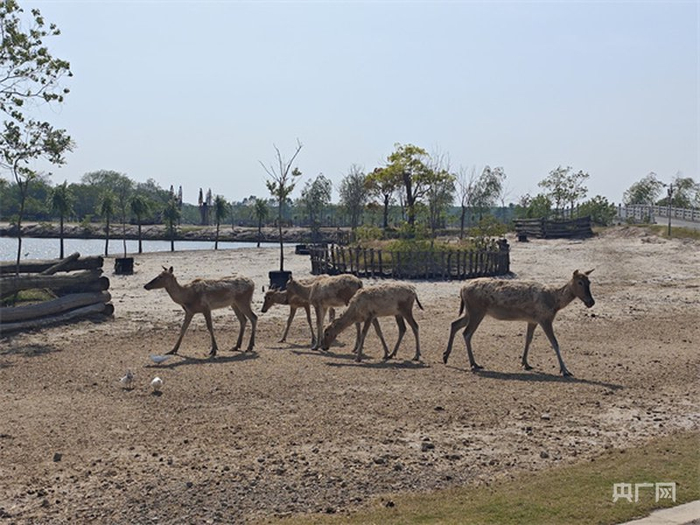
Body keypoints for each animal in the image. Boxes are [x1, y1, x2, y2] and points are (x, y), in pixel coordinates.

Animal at [443, 269, 595, 376]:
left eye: (589, 282)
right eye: (580, 282)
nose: (591, 302)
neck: (555, 303)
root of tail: (462, 288)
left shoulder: (533, 320)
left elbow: (528, 339)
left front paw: (525, 363)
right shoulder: (545, 318)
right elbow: (555, 343)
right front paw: (565, 370)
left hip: (470, 311)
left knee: (454, 324)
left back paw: (446, 356)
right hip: (476, 310)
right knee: (467, 333)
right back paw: (473, 363)